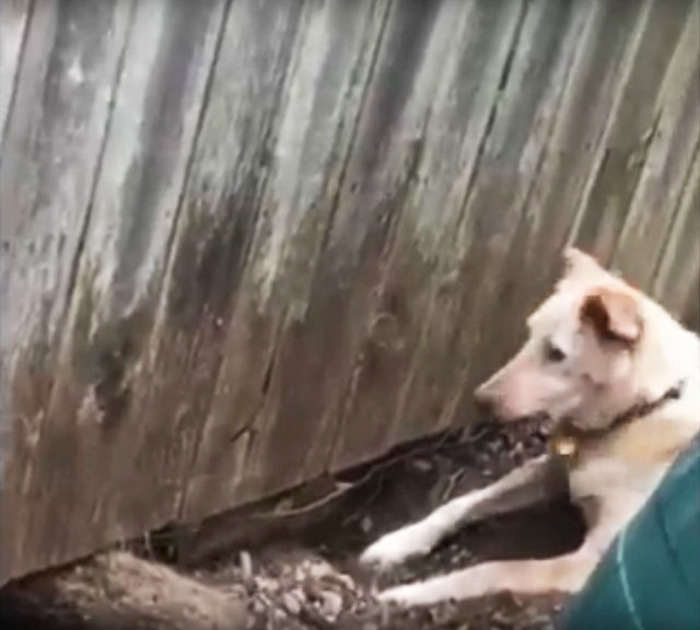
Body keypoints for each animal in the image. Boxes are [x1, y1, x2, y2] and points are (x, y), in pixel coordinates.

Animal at [360, 248, 700, 608]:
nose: (480, 400)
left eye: (556, 353)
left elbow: (494, 569)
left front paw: (412, 593)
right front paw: (399, 542)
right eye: (530, 334)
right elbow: (461, 503)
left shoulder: (592, 562)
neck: (640, 410)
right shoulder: (547, 470)